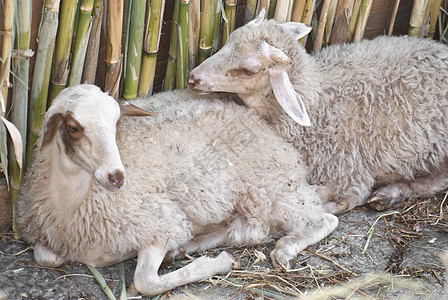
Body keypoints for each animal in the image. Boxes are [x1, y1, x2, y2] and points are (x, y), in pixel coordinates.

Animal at [18, 84, 340, 296]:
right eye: (73, 127)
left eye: (116, 123)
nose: (117, 177)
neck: (73, 202)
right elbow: (47, 258)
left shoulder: (160, 222)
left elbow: (147, 282)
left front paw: (218, 264)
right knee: (243, 230)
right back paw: (187, 247)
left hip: (268, 187)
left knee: (322, 219)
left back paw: (284, 249)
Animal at [187, 9, 448, 216]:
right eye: (228, 40)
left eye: (248, 70)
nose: (192, 79)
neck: (318, 99)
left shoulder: (347, 167)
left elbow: (350, 195)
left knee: (438, 180)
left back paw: (390, 194)